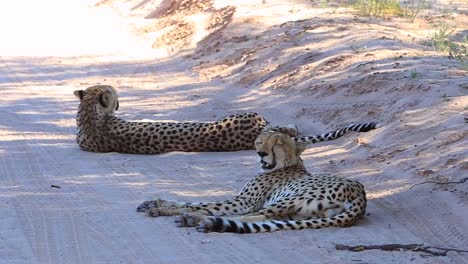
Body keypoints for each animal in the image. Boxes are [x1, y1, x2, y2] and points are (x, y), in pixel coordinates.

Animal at [135, 125, 376, 233]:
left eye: (277, 144)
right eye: (261, 141)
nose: (261, 153)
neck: (290, 164)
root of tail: (360, 195)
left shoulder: (244, 201)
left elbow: (204, 205)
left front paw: (162, 208)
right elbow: (194, 201)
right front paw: (156, 202)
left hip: (289, 199)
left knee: (251, 217)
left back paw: (197, 220)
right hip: (301, 214)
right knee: (263, 219)